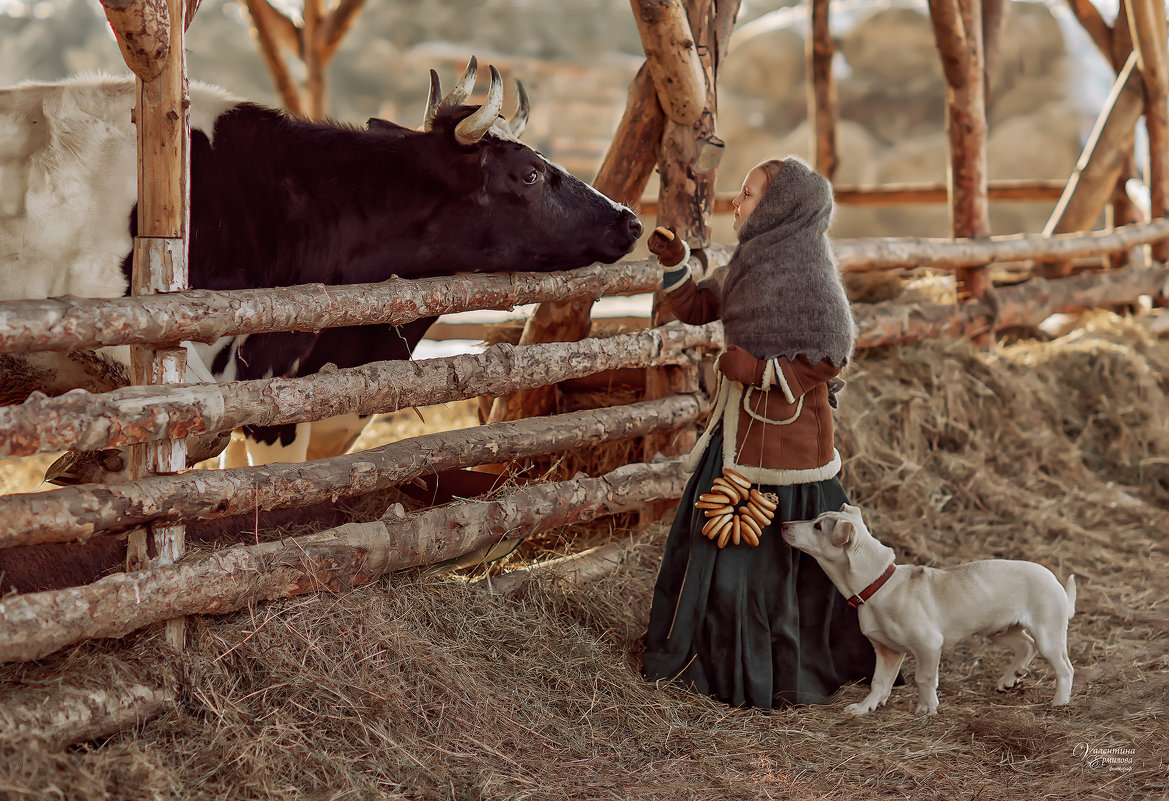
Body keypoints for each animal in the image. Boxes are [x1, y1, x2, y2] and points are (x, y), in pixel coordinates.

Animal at [780, 502, 1070, 715]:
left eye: (818, 526)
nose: (783, 524)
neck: (878, 584)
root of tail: (1054, 579)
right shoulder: (887, 650)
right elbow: (878, 681)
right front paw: (865, 708)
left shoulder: (929, 645)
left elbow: (925, 678)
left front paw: (927, 708)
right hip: (999, 630)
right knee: (1026, 646)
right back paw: (1010, 679)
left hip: (1048, 634)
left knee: (1064, 668)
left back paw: (1060, 702)